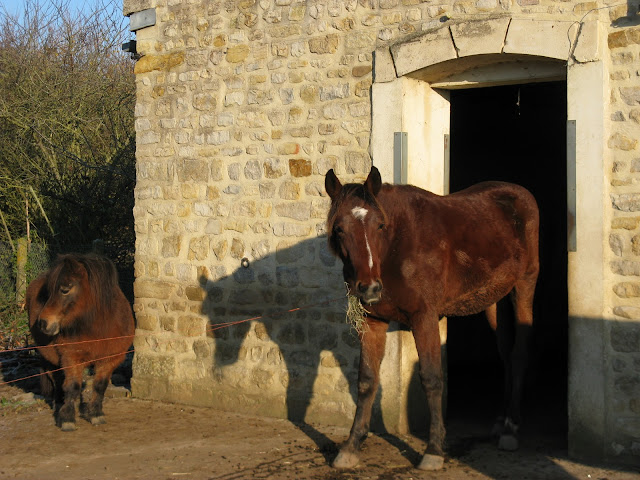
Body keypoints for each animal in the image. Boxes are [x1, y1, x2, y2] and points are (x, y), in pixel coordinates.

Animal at [25, 253, 135, 431]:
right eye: (49, 291)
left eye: (65, 289)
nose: (43, 323)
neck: (99, 327)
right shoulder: (72, 358)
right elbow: (73, 387)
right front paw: (67, 419)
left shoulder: (110, 359)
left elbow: (100, 385)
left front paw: (96, 414)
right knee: (57, 381)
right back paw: (59, 405)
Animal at [325, 166, 539, 470]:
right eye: (339, 229)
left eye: (380, 225)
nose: (369, 288)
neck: (395, 248)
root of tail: (519, 194)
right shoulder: (371, 321)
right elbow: (366, 380)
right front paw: (352, 446)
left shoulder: (424, 318)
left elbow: (432, 378)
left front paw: (434, 449)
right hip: (493, 300)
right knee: (506, 356)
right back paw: (502, 421)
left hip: (524, 286)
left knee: (518, 355)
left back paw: (511, 429)